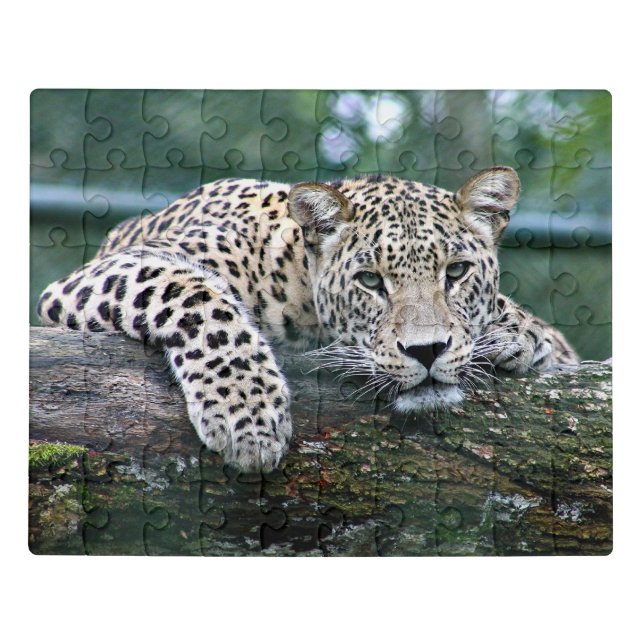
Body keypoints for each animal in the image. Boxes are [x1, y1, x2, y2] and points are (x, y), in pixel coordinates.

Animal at [37, 166, 578, 472]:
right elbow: (198, 297)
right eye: (370, 281)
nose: (426, 351)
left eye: (457, 272)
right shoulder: (110, 271)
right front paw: (248, 416)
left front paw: (521, 334)